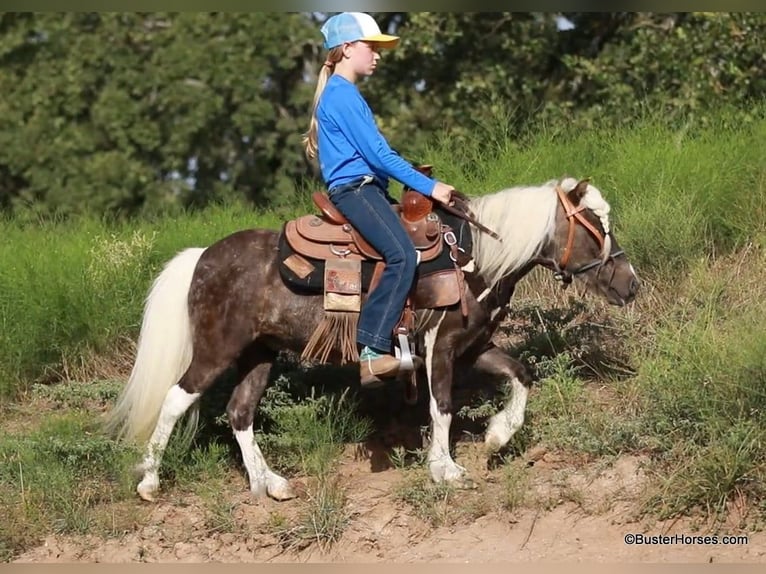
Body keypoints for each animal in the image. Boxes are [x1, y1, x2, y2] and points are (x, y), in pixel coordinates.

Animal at [104, 176, 639, 501]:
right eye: (597, 226)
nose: (630, 283)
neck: (474, 259)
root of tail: (202, 257)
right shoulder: (439, 347)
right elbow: (442, 406)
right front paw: (446, 469)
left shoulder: (473, 347)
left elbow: (522, 375)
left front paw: (496, 436)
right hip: (218, 350)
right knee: (176, 399)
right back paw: (149, 481)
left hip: (259, 354)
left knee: (240, 412)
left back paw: (268, 482)